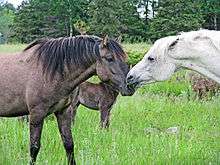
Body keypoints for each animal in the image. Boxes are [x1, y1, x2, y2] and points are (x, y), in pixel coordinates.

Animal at [0, 34, 134, 164]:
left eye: (125, 57)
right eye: (110, 58)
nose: (130, 85)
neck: (49, 72)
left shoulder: (64, 111)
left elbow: (69, 144)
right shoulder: (37, 114)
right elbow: (34, 147)